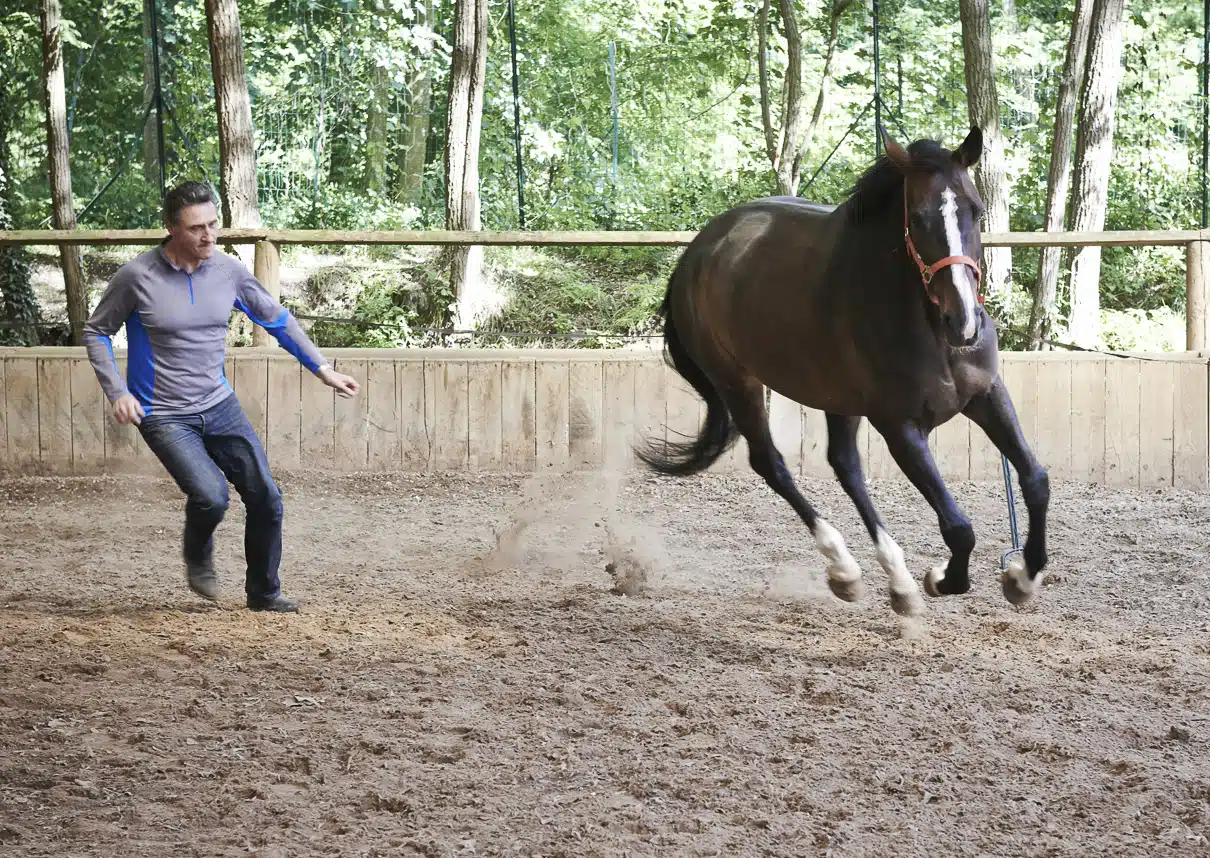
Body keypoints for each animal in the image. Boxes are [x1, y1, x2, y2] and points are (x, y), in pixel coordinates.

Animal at [638, 125, 1045, 614]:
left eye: (976, 210)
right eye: (917, 218)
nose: (963, 322)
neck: (930, 333)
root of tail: (697, 251)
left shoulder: (986, 395)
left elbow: (1036, 480)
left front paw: (1023, 576)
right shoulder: (900, 428)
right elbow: (958, 527)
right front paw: (941, 578)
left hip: (837, 396)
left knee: (845, 465)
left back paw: (896, 580)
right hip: (738, 382)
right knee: (772, 464)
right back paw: (846, 568)